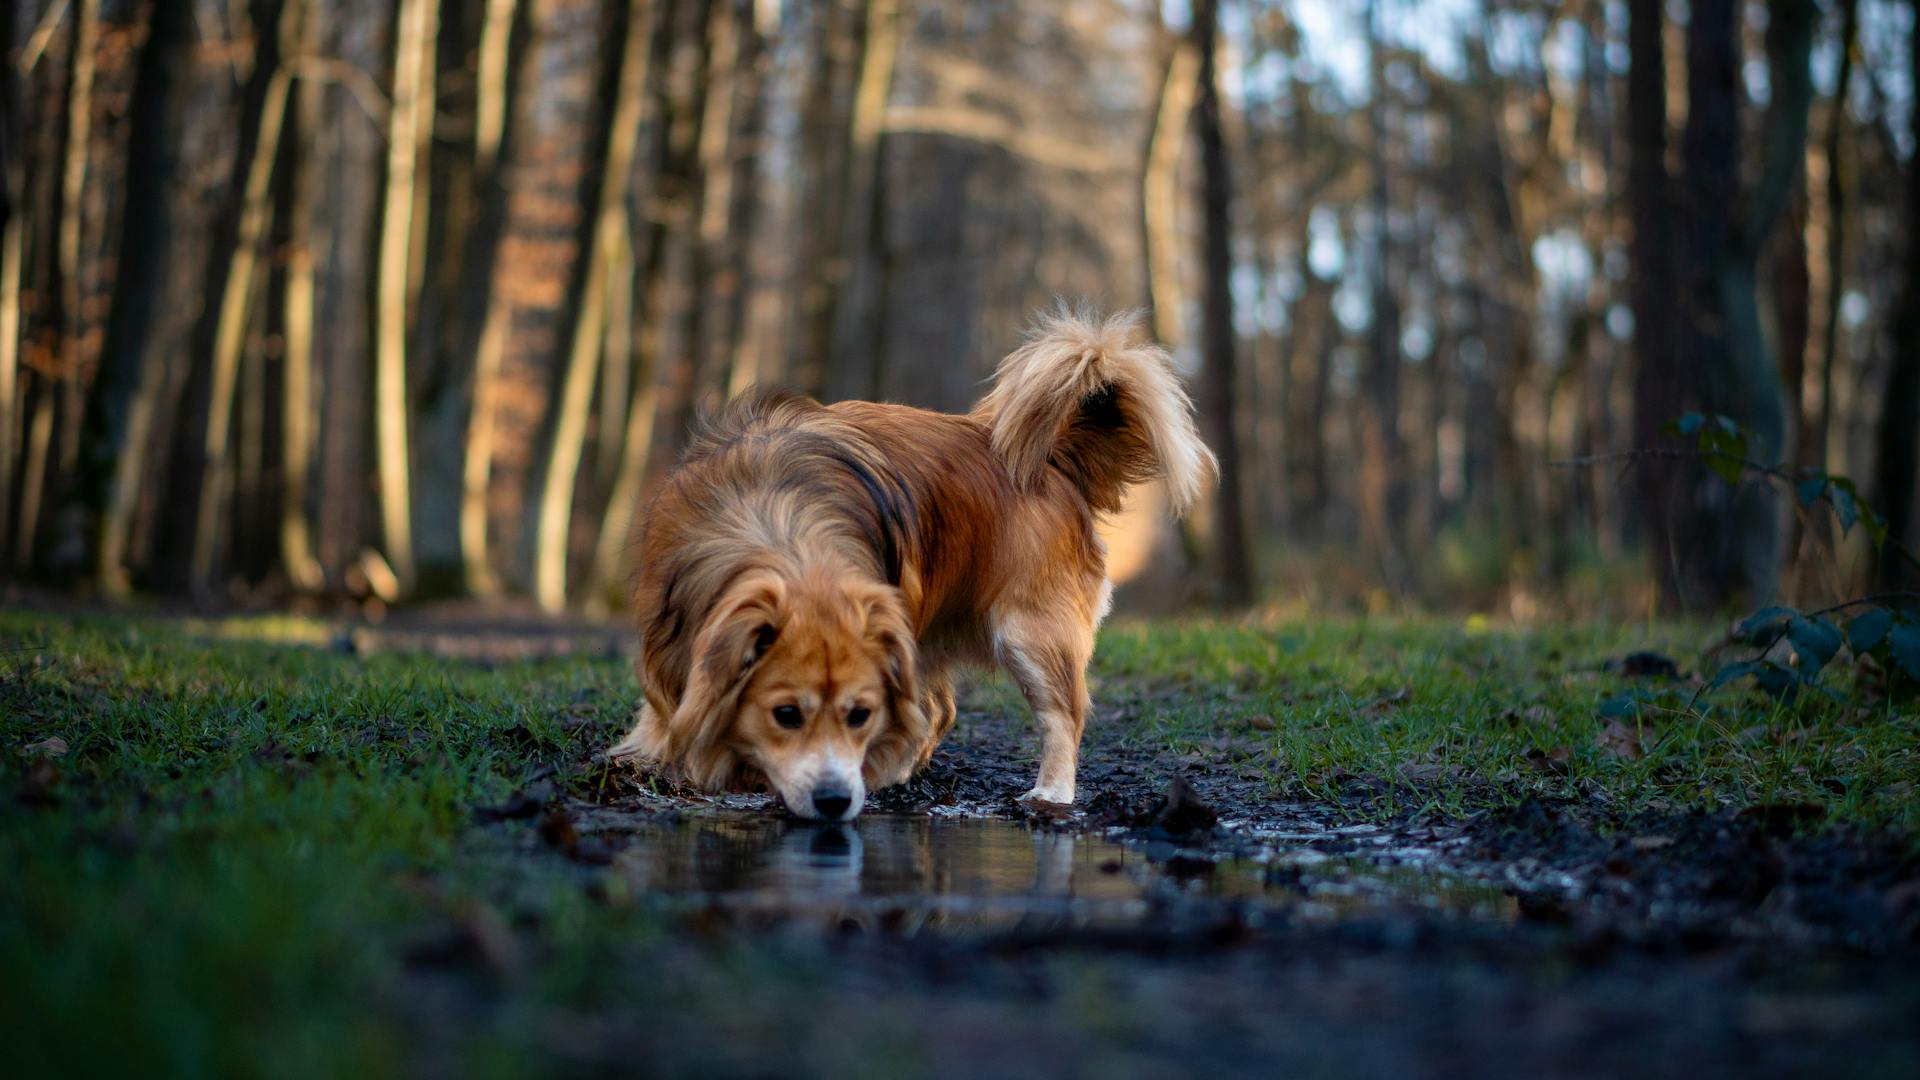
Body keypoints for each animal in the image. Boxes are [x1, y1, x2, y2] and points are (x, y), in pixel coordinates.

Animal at [606, 307, 1213, 818]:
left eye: (860, 715)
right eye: (786, 715)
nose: (836, 800)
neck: (780, 523)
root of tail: (1050, 458)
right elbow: (667, 709)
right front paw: (649, 754)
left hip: (1028, 633)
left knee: (1060, 714)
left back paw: (1049, 791)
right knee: (939, 709)